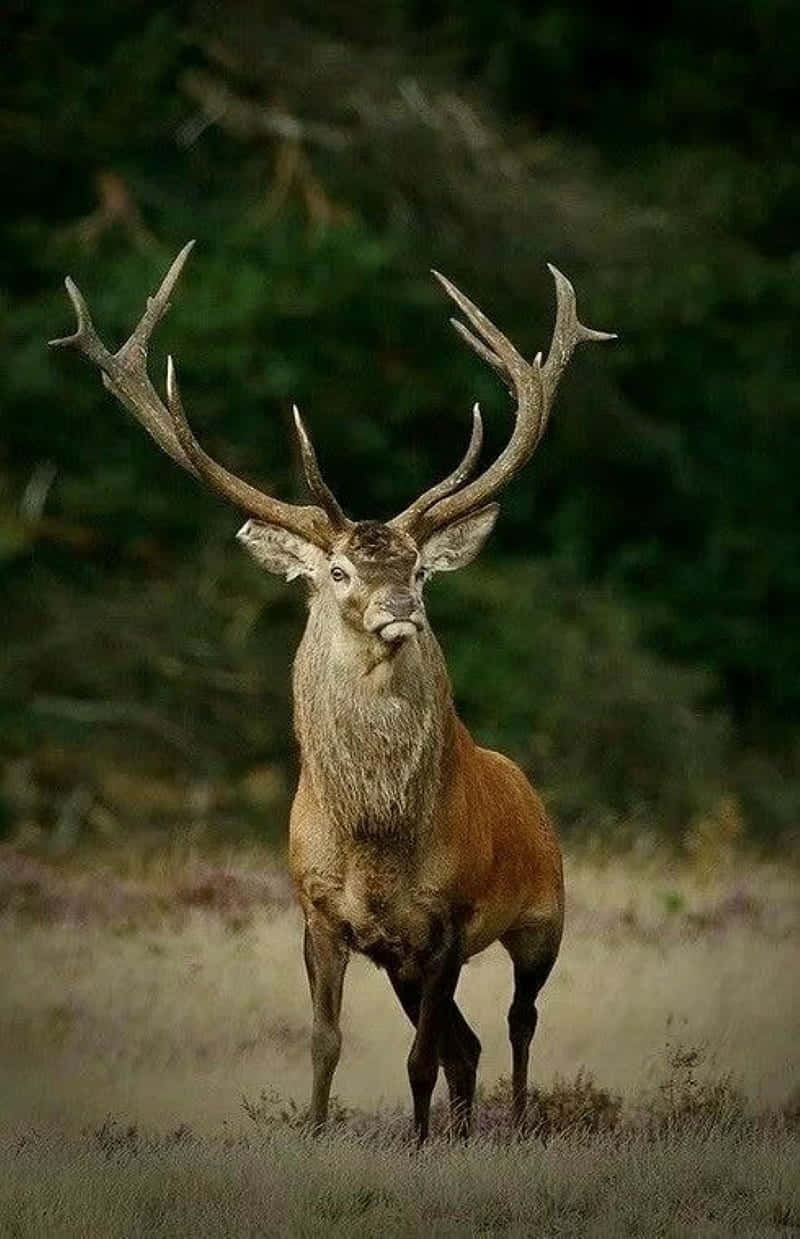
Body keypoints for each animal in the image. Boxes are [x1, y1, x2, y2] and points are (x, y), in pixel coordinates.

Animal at [50, 241, 614, 1139]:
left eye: (421, 569)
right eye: (340, 570)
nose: (401, 609)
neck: (375, 841)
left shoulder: (451, 921)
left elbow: (417, 1057)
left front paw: (417, 1145)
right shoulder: (319, 914)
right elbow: (328, 1040)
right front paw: (322, 1132)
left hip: (544, 915)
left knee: (519, 1023)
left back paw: (518, 1120)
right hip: (408, 961)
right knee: (471, 1045)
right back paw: (464, 1130)